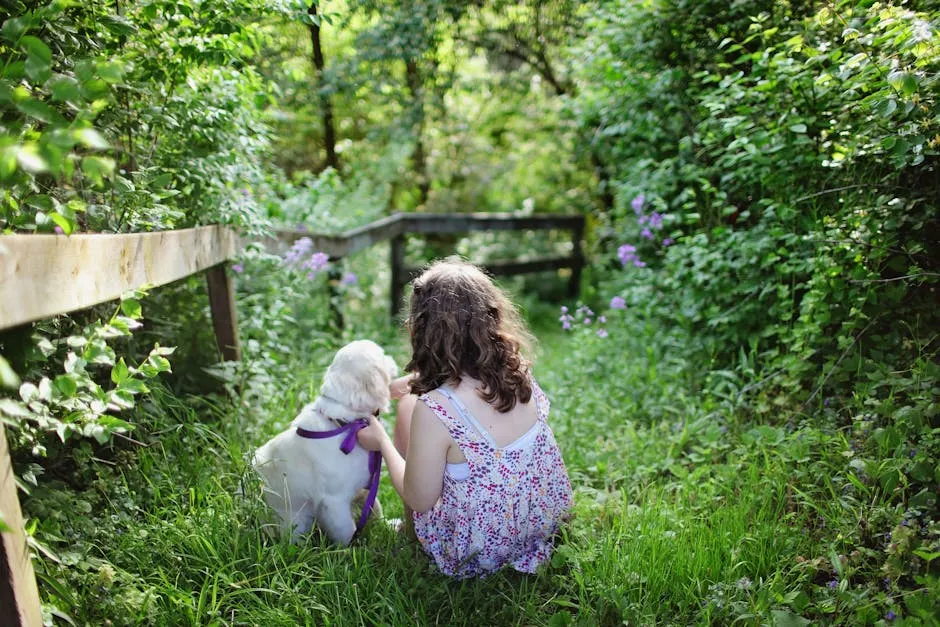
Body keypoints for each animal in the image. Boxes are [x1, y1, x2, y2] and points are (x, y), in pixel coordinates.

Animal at [252, 338, 394, 544]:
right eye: (382, 355)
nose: (392, 358)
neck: (345, 424)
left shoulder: (364, 485)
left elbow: (375, 507)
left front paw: (389, 526)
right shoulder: (334, 501)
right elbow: (346, 530)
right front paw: (352, 548)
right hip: (295, 521)